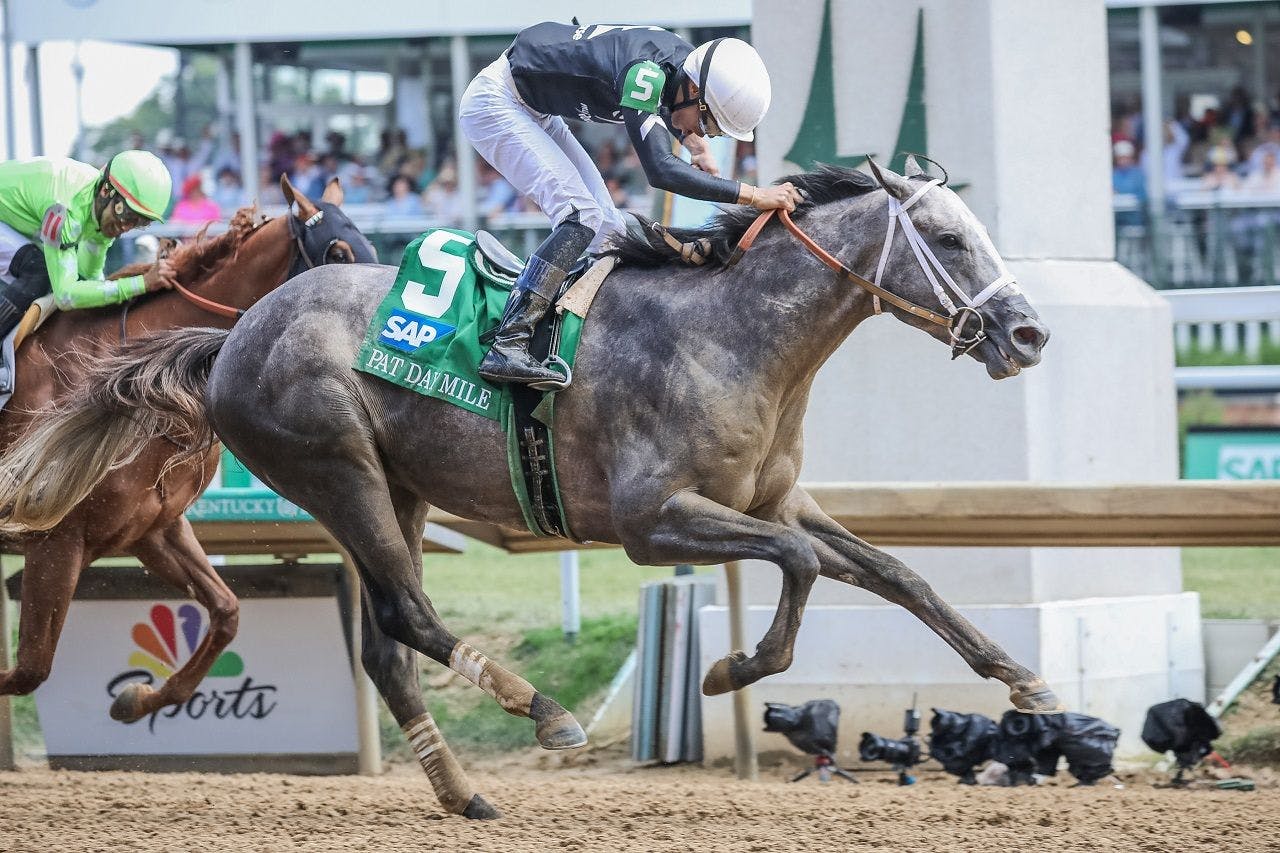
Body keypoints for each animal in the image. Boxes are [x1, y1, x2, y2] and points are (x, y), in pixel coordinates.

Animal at [0, 174, 373, 722]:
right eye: (339, 254)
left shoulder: (153, 529)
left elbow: (226, 612)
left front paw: (137, 699)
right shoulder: (55, 540)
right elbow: (30, 668)